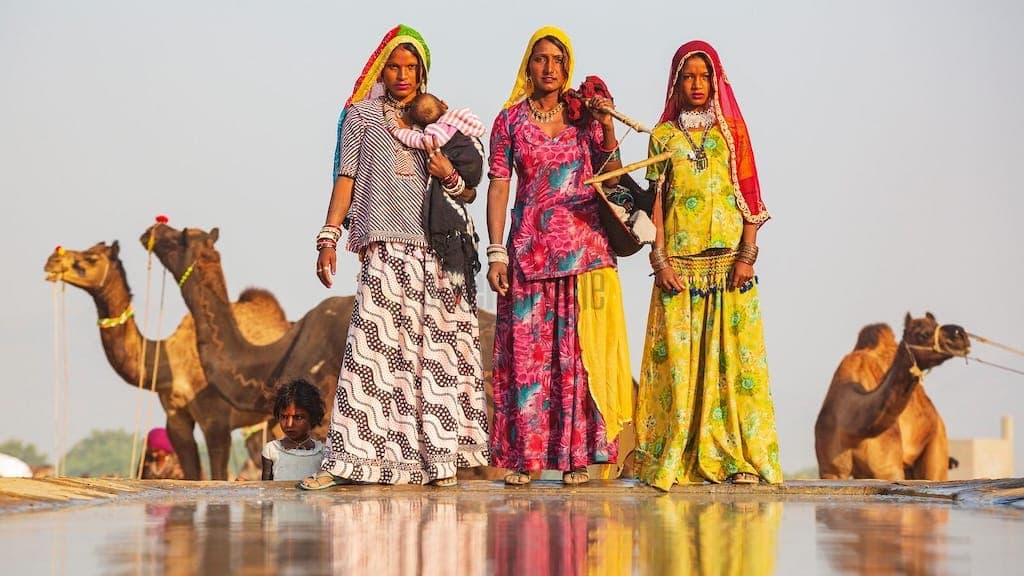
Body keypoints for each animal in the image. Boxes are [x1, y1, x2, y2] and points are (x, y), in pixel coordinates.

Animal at [40, 239, 288, 477]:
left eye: (92, 258)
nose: (52, 260)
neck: (172, 366)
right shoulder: (175, 418)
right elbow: (192, 474)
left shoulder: (216, 421)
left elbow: (217, 475)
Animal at [811, 311, 970, 477]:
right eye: (922, 334)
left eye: (936, 325)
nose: (960, 334)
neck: (854, 428)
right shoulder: (830, 470)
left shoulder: (888, 468)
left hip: (937, 446)